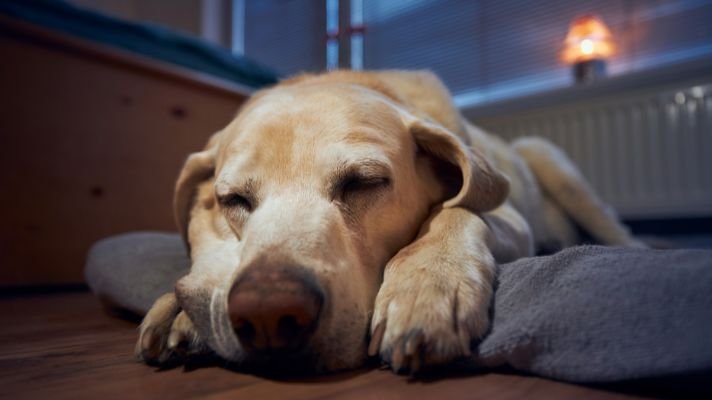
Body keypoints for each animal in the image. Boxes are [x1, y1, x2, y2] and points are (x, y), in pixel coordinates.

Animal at [136, 70, 644, 374]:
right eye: (234, 200)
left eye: (363, 183)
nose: (267, 317)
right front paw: (177, 309)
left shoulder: (508, 215)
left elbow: (456, 209)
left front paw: (427, 286)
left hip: (550, 160)